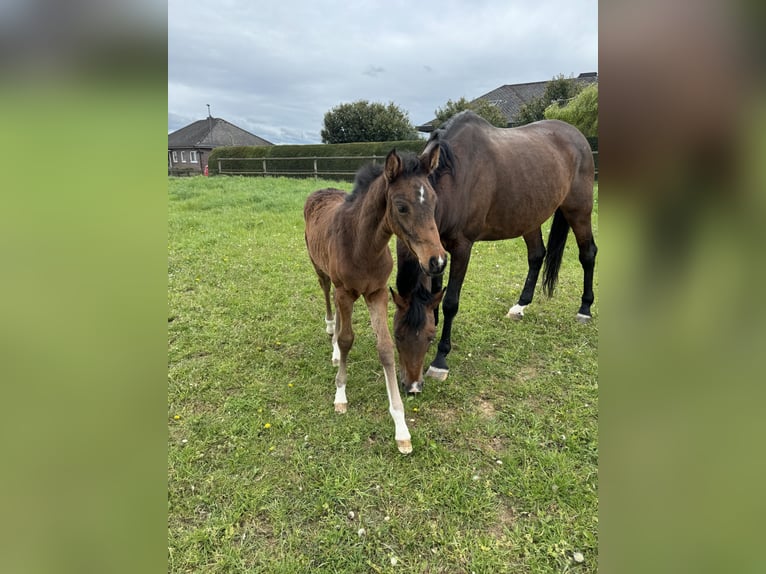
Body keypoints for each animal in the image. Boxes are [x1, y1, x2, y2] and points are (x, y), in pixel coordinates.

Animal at [303, 147, 446, 454]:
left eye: (434, 201)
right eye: (401, 207)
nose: (437, 261)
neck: (362, 245)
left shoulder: (377, 293)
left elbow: (385, 349)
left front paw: (401, 428)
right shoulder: (346, 291)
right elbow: (347, 339)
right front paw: (340, 394)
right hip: (322, 272)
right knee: (328, 298)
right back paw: (331, 334)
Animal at [391, 111, 597, 394]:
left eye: (429, 337)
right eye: (397, 335)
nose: (412, 387)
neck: (454, 179)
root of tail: (577, 136)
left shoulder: (461, 247)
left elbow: (450, 301)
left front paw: (440, 360)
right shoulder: (436, 250)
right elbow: (435, 292)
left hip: (579, 211)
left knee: (588, 254)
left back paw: (585, 309)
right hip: (529, 217)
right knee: (537, 255)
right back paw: (520, 307)